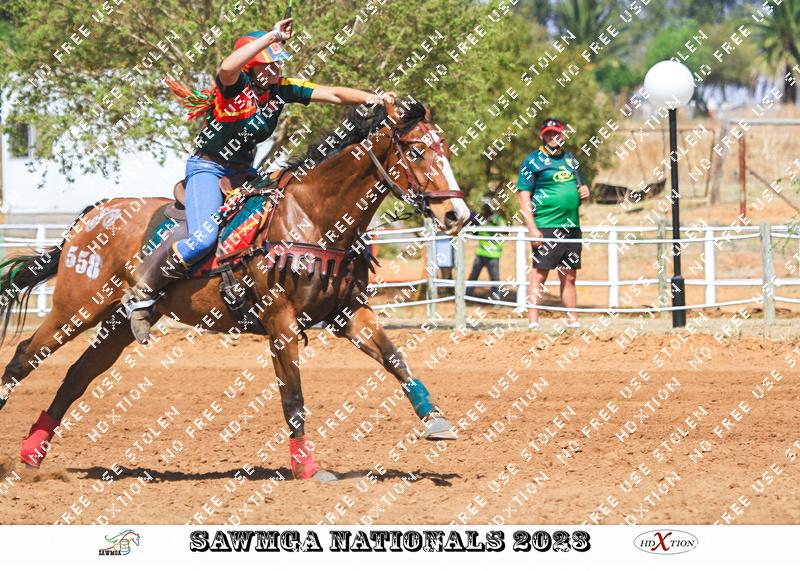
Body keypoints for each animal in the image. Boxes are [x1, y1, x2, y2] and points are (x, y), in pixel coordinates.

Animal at [0, 98, 471, 482]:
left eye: (445, 149)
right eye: (416, 151)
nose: (457, 214)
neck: (312, 216)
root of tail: (90, 218)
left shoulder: (350, 312)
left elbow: (395, 359)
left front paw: (436, 421)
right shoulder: (280, 322)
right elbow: (293, 396)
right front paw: (308, 468)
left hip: (115, 325)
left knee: (75, 378)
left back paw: (32, 455)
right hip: (75, 309)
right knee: (24, 357)